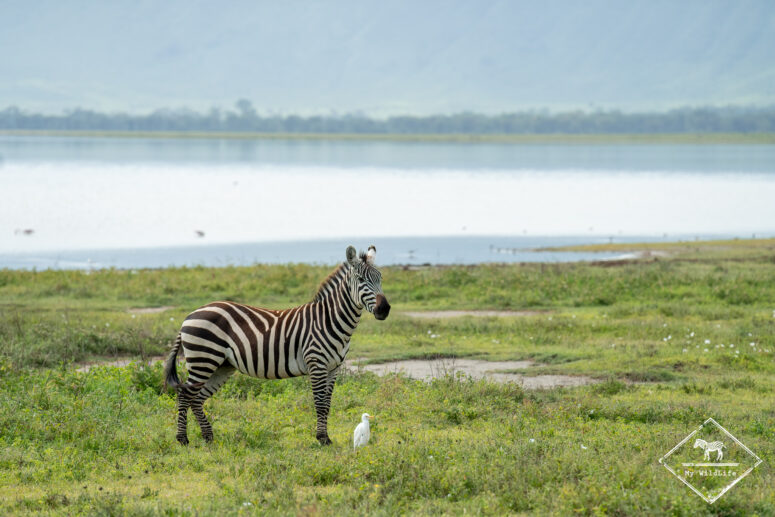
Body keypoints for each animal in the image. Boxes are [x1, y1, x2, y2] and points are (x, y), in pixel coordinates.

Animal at [163, 245, 390, 446]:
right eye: (360, 279)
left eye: (380, 278)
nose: (384, 309)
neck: (328, 320)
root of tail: (190, 314)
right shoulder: (316, 364)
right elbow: (319, 404)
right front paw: (322, 439)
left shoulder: (334, 368)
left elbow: (327, 405)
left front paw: (326, 437)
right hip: (203, 359)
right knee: (185, 396)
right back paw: (183, 439)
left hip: (221, 366)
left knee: (197, 399)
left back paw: (208, 437)